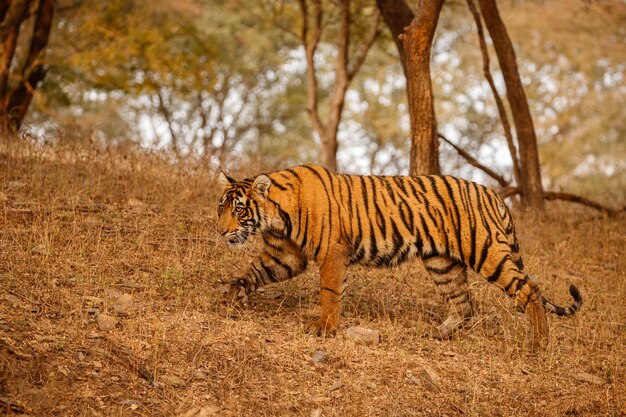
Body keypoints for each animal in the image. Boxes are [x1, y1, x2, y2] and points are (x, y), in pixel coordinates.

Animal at [216, 162, 580, 348]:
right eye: (221, 208)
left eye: (239, 210)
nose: (221, 231)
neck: (278, 217)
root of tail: (495, 195)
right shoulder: (286, 255)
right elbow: (254, 271)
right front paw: (232, 295)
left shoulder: (333, 253)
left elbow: (330, 293)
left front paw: (324, 328)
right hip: (442, 263)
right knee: (464, 305)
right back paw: (438, 334)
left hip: (486, 250)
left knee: (530, 290)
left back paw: (539, 344)